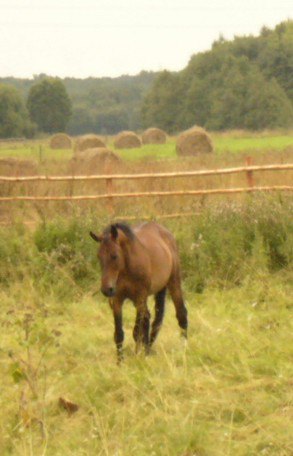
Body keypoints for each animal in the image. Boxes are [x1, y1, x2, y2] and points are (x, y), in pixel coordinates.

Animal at [89, 223, 187, 362]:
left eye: (114, 255)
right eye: (99, 256)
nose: (106, 289)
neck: (126, 267)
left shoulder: (140, 297)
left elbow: (141, 328)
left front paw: (143, 356)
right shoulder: (117, 300)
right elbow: (119, 333)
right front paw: (120, 362)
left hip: (173, 283)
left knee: (181, 314)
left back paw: (183, 348)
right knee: (155, 322)